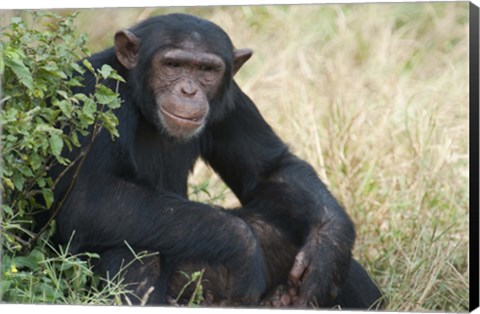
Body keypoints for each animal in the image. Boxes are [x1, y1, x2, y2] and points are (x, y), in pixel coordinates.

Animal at [49, 12, 382, 310]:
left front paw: (329, 245)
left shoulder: (232, 99)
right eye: (172, 65)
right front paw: (244, 249)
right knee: (134, 251)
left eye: (207, 70)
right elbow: (91, 197)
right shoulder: (98, 95)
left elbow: (269, 170)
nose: (188, 90)